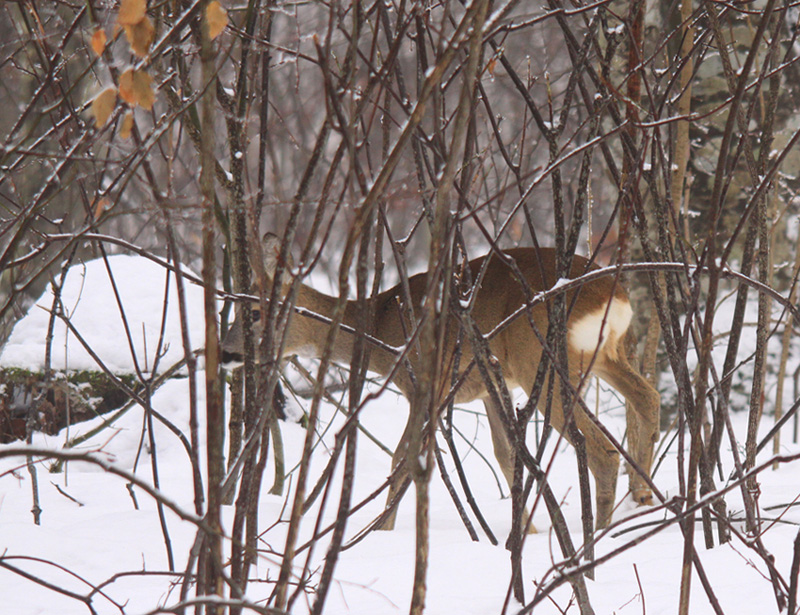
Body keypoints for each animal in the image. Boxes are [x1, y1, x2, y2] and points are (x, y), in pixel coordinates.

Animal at [222, 233, 660, 532]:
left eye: (255, 313)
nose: (226, 352)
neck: (378, 325)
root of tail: (613, 297)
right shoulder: (489, 385)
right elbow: (506, 456)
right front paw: (525, 533)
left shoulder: (422, 384)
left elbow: (403, 459)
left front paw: (380, 531)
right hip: (603, 356)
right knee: (648, 397)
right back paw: (641, 496)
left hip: (542, 361)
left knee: (602, 449)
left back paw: (595, 538)